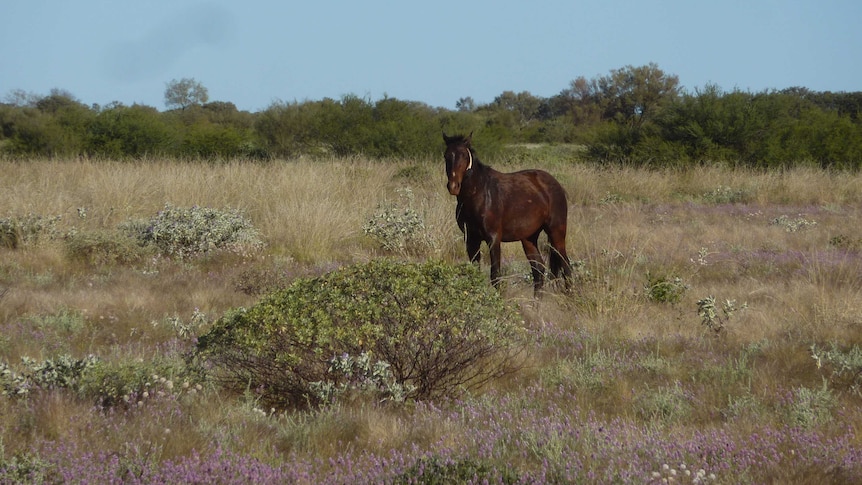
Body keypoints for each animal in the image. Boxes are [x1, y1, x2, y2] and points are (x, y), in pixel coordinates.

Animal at [446, 130, 572, 294]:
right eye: (446, 156)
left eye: (464, 156)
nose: (453, 186)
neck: (479, 194)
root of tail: (556, 184)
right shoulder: (471, 239)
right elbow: (474, 274)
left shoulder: (493, 239)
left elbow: (495, 276)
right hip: (529, 238)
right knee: (538, 271)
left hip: (556, 233)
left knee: (566, 267)